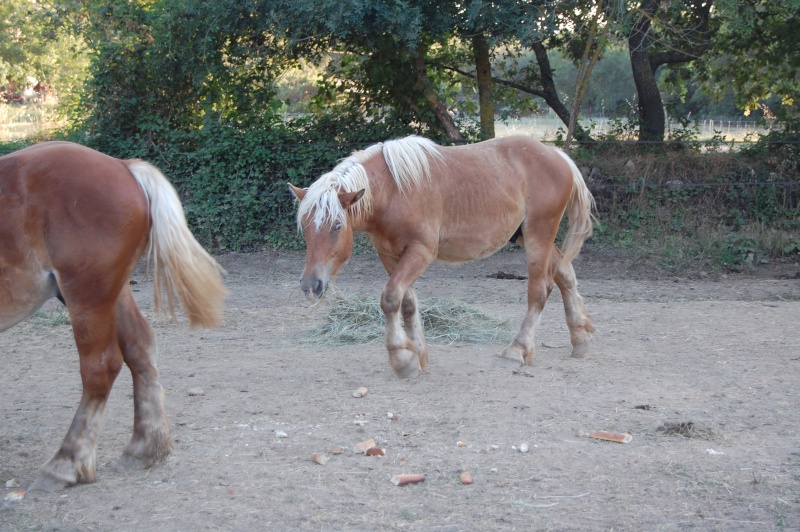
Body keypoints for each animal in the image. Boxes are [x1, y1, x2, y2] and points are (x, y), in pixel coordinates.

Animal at [1, 141, 227, 490]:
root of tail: (123, 167)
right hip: (111, 291)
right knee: (140, 347)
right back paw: (145, 447)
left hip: (88, 294)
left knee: (101, 367)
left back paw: (66, 462)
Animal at [290, 135, 596, 380]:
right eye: (304, 225)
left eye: (336, 226)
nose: (310, 285)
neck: (394, 189)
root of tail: (557, 155)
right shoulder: (389, 255)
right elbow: (407, 303)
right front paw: (418, 354)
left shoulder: (421, 251)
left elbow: (390, 298)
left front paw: (401, 359)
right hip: (526, 237)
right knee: (565, 275)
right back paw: (579, 340)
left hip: (537, 237)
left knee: (539, 291)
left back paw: (517, 351)